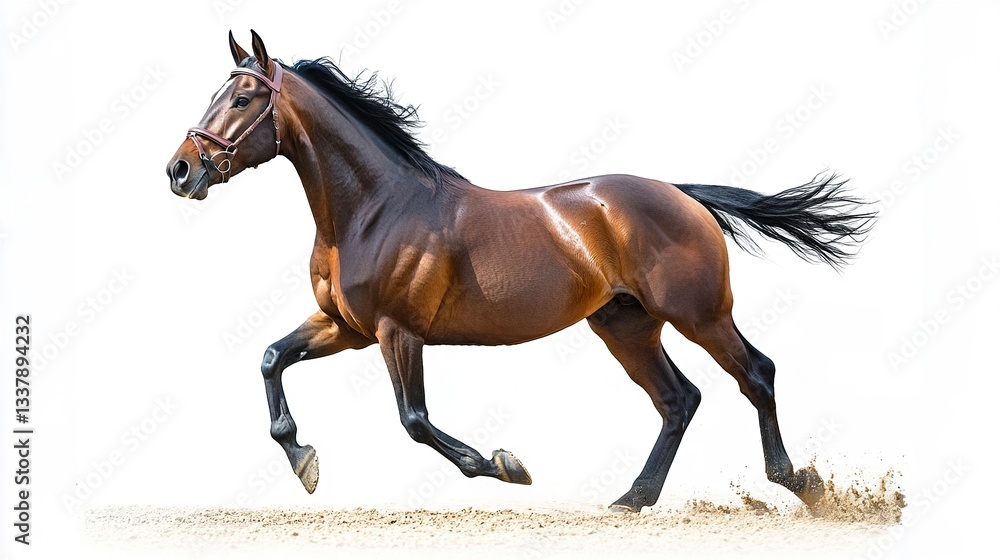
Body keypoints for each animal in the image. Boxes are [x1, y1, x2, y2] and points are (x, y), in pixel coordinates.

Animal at [166, 31, 875, 513]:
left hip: (699, 315)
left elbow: (414, 419)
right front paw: (304, 461)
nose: (179, 170)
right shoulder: (346, 327)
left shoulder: (398, 331)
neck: (373, 207)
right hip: (626, 326)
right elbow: (271, 359)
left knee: (756, 375)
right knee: (679, 399)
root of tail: (681, 194)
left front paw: (507, 466)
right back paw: (632, 499)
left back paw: (800, 485)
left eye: (244, 98)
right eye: (214, 92)